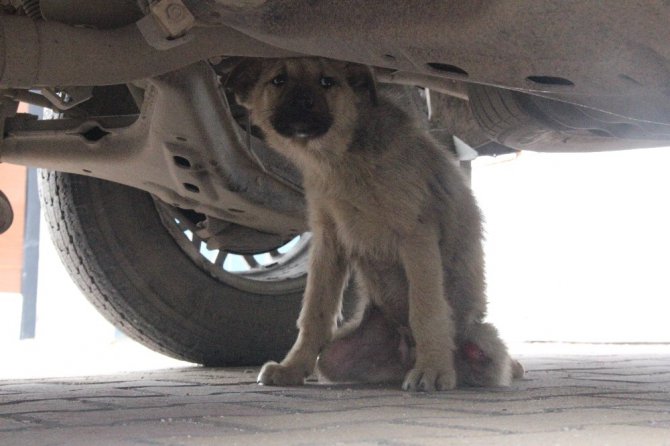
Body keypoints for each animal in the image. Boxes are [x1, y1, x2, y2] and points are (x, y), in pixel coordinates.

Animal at [228, 56, 524, 390]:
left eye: (327, 82)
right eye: (278, 80)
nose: (302, 102)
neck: (341, 159)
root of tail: (405, 355)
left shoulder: (415, 235)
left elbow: (426, 308)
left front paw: (433, 369)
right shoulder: (328, 241)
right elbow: (315, 310)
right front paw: (293, 367)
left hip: (480, 338)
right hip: (338, 357)